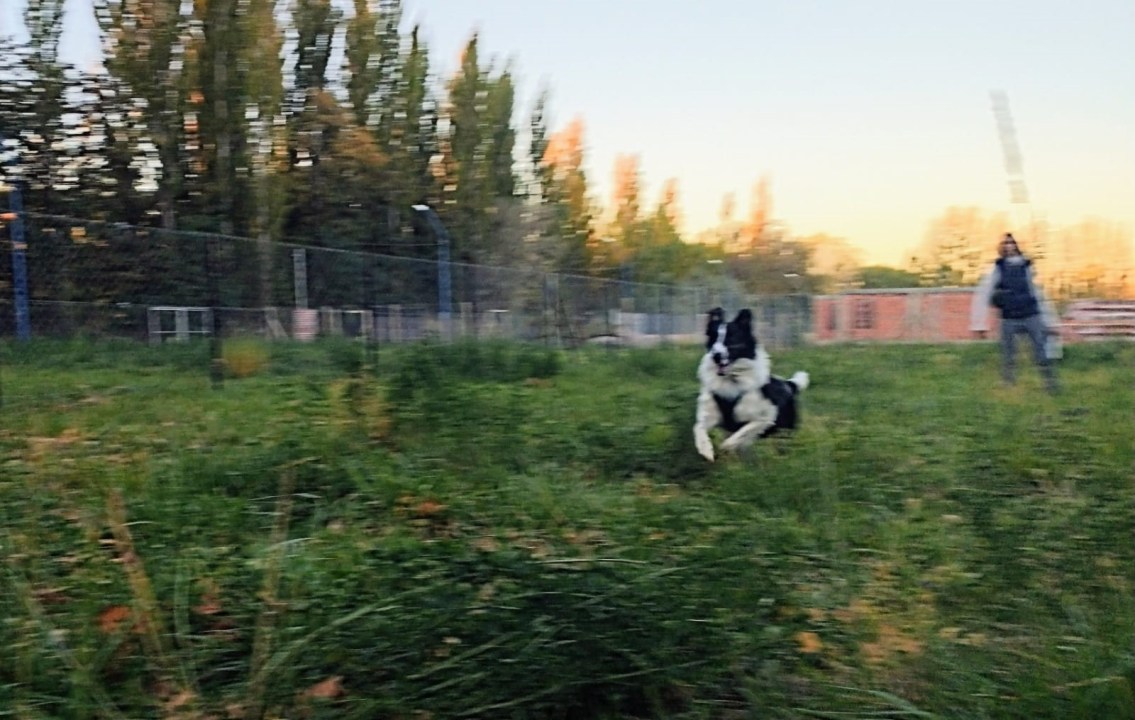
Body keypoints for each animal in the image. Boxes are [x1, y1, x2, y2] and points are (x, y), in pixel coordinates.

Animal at [693, 307, 809, 461]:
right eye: (714, 337)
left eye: (731, 338)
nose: (715, 356)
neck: (731, 378)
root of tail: (788, 383)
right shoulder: (710, 415)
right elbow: (698, 428)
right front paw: (706, 449)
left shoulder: (765, 418)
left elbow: (741, 433)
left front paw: (726, 446)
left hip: (785, 429)